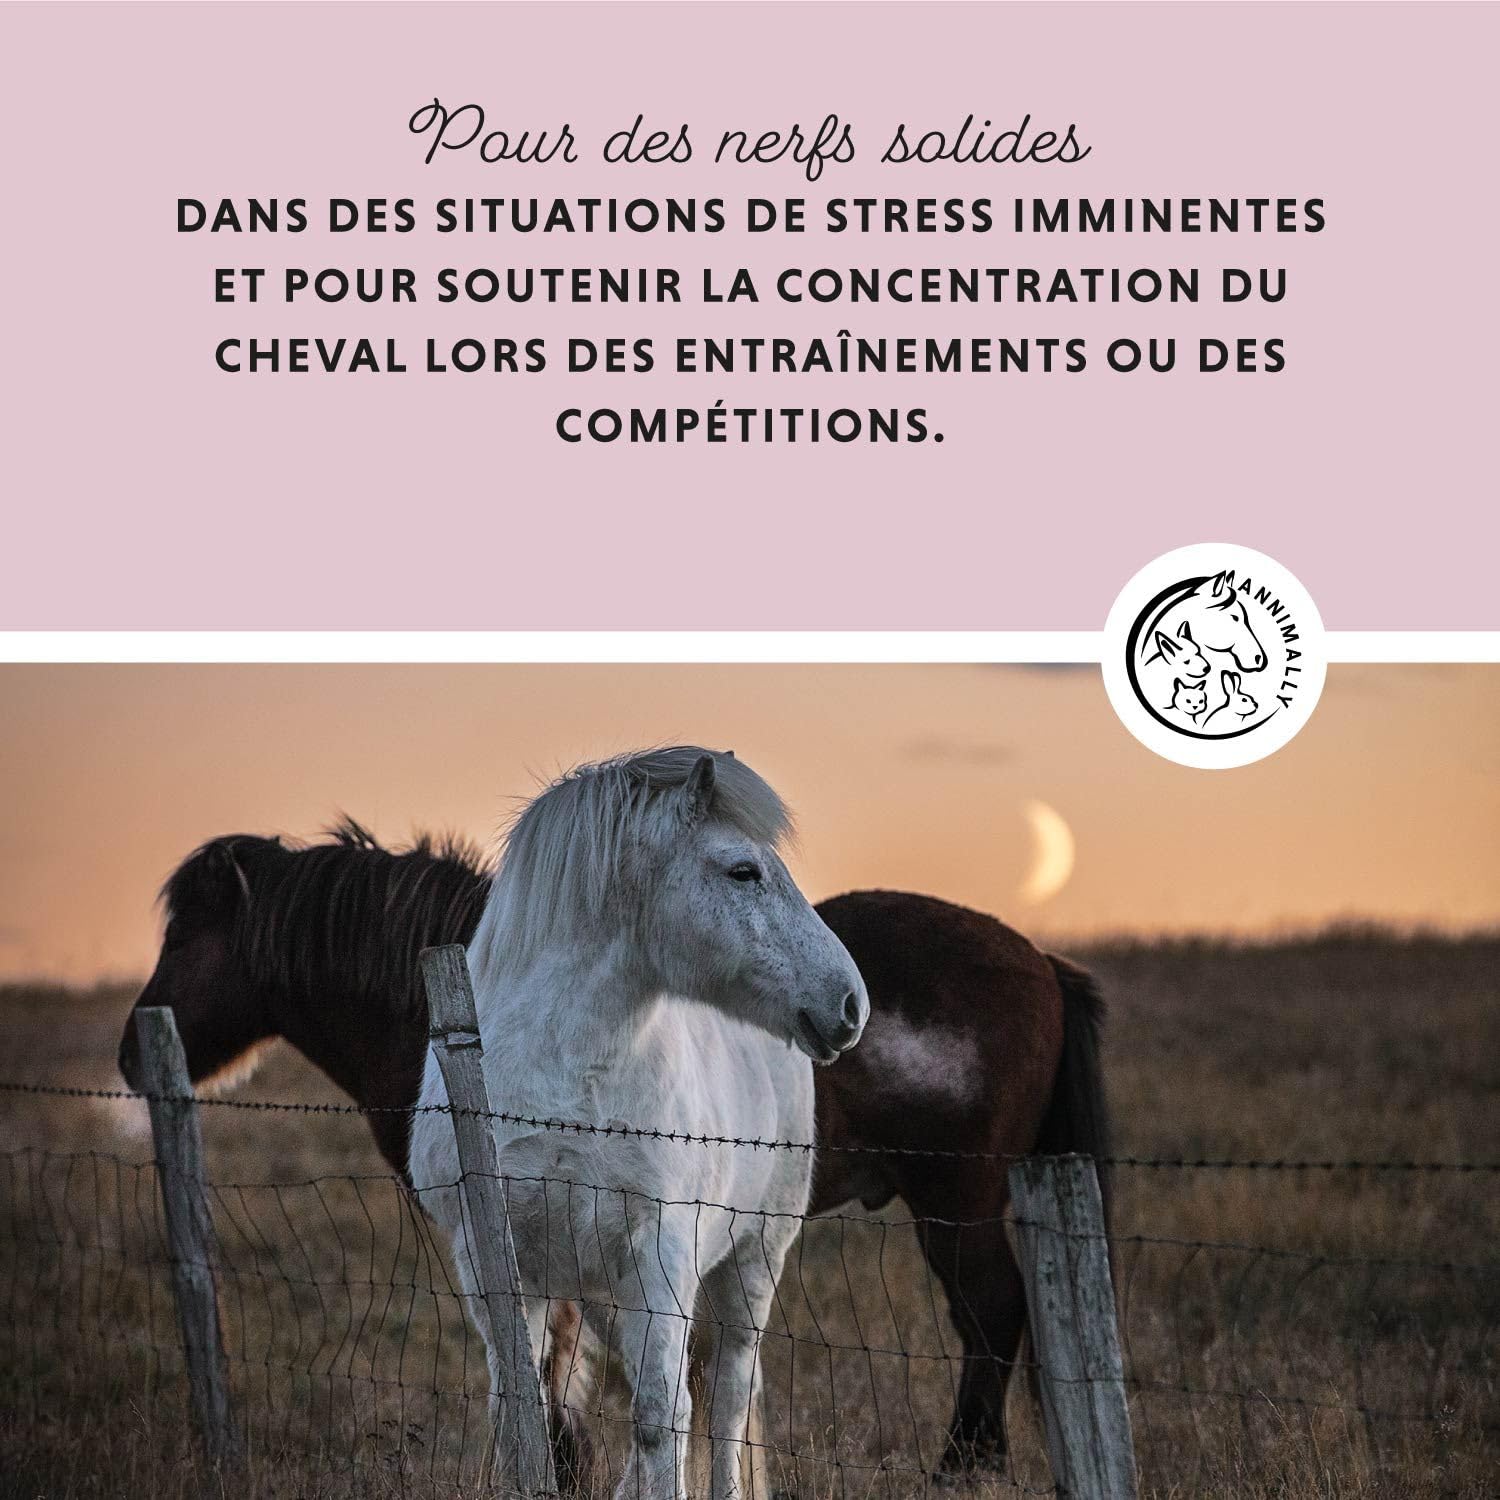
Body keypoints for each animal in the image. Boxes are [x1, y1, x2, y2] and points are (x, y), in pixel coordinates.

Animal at [120, 817, 1110, 1474]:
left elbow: (564, 1383)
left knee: (991, 1316)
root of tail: (1042, 964)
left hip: (955, 1207)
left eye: (186, 934)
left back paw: (966, 1466)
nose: (131, 1050)